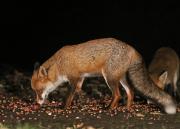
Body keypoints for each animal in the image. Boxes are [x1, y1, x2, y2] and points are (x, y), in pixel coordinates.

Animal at [31, 38, 176, 114]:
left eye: (39, 90)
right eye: (35, 91)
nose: (37, 103)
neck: (60, 64)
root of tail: (132, 48)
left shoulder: (74, 78)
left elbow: (68, 95)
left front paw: (64, 107)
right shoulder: (80, 78)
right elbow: (77, 92)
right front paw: (76, 103)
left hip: (109, 77)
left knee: (117, 95)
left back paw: (109, 108)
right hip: (121, 78)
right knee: (131, 92)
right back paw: (127, 108)